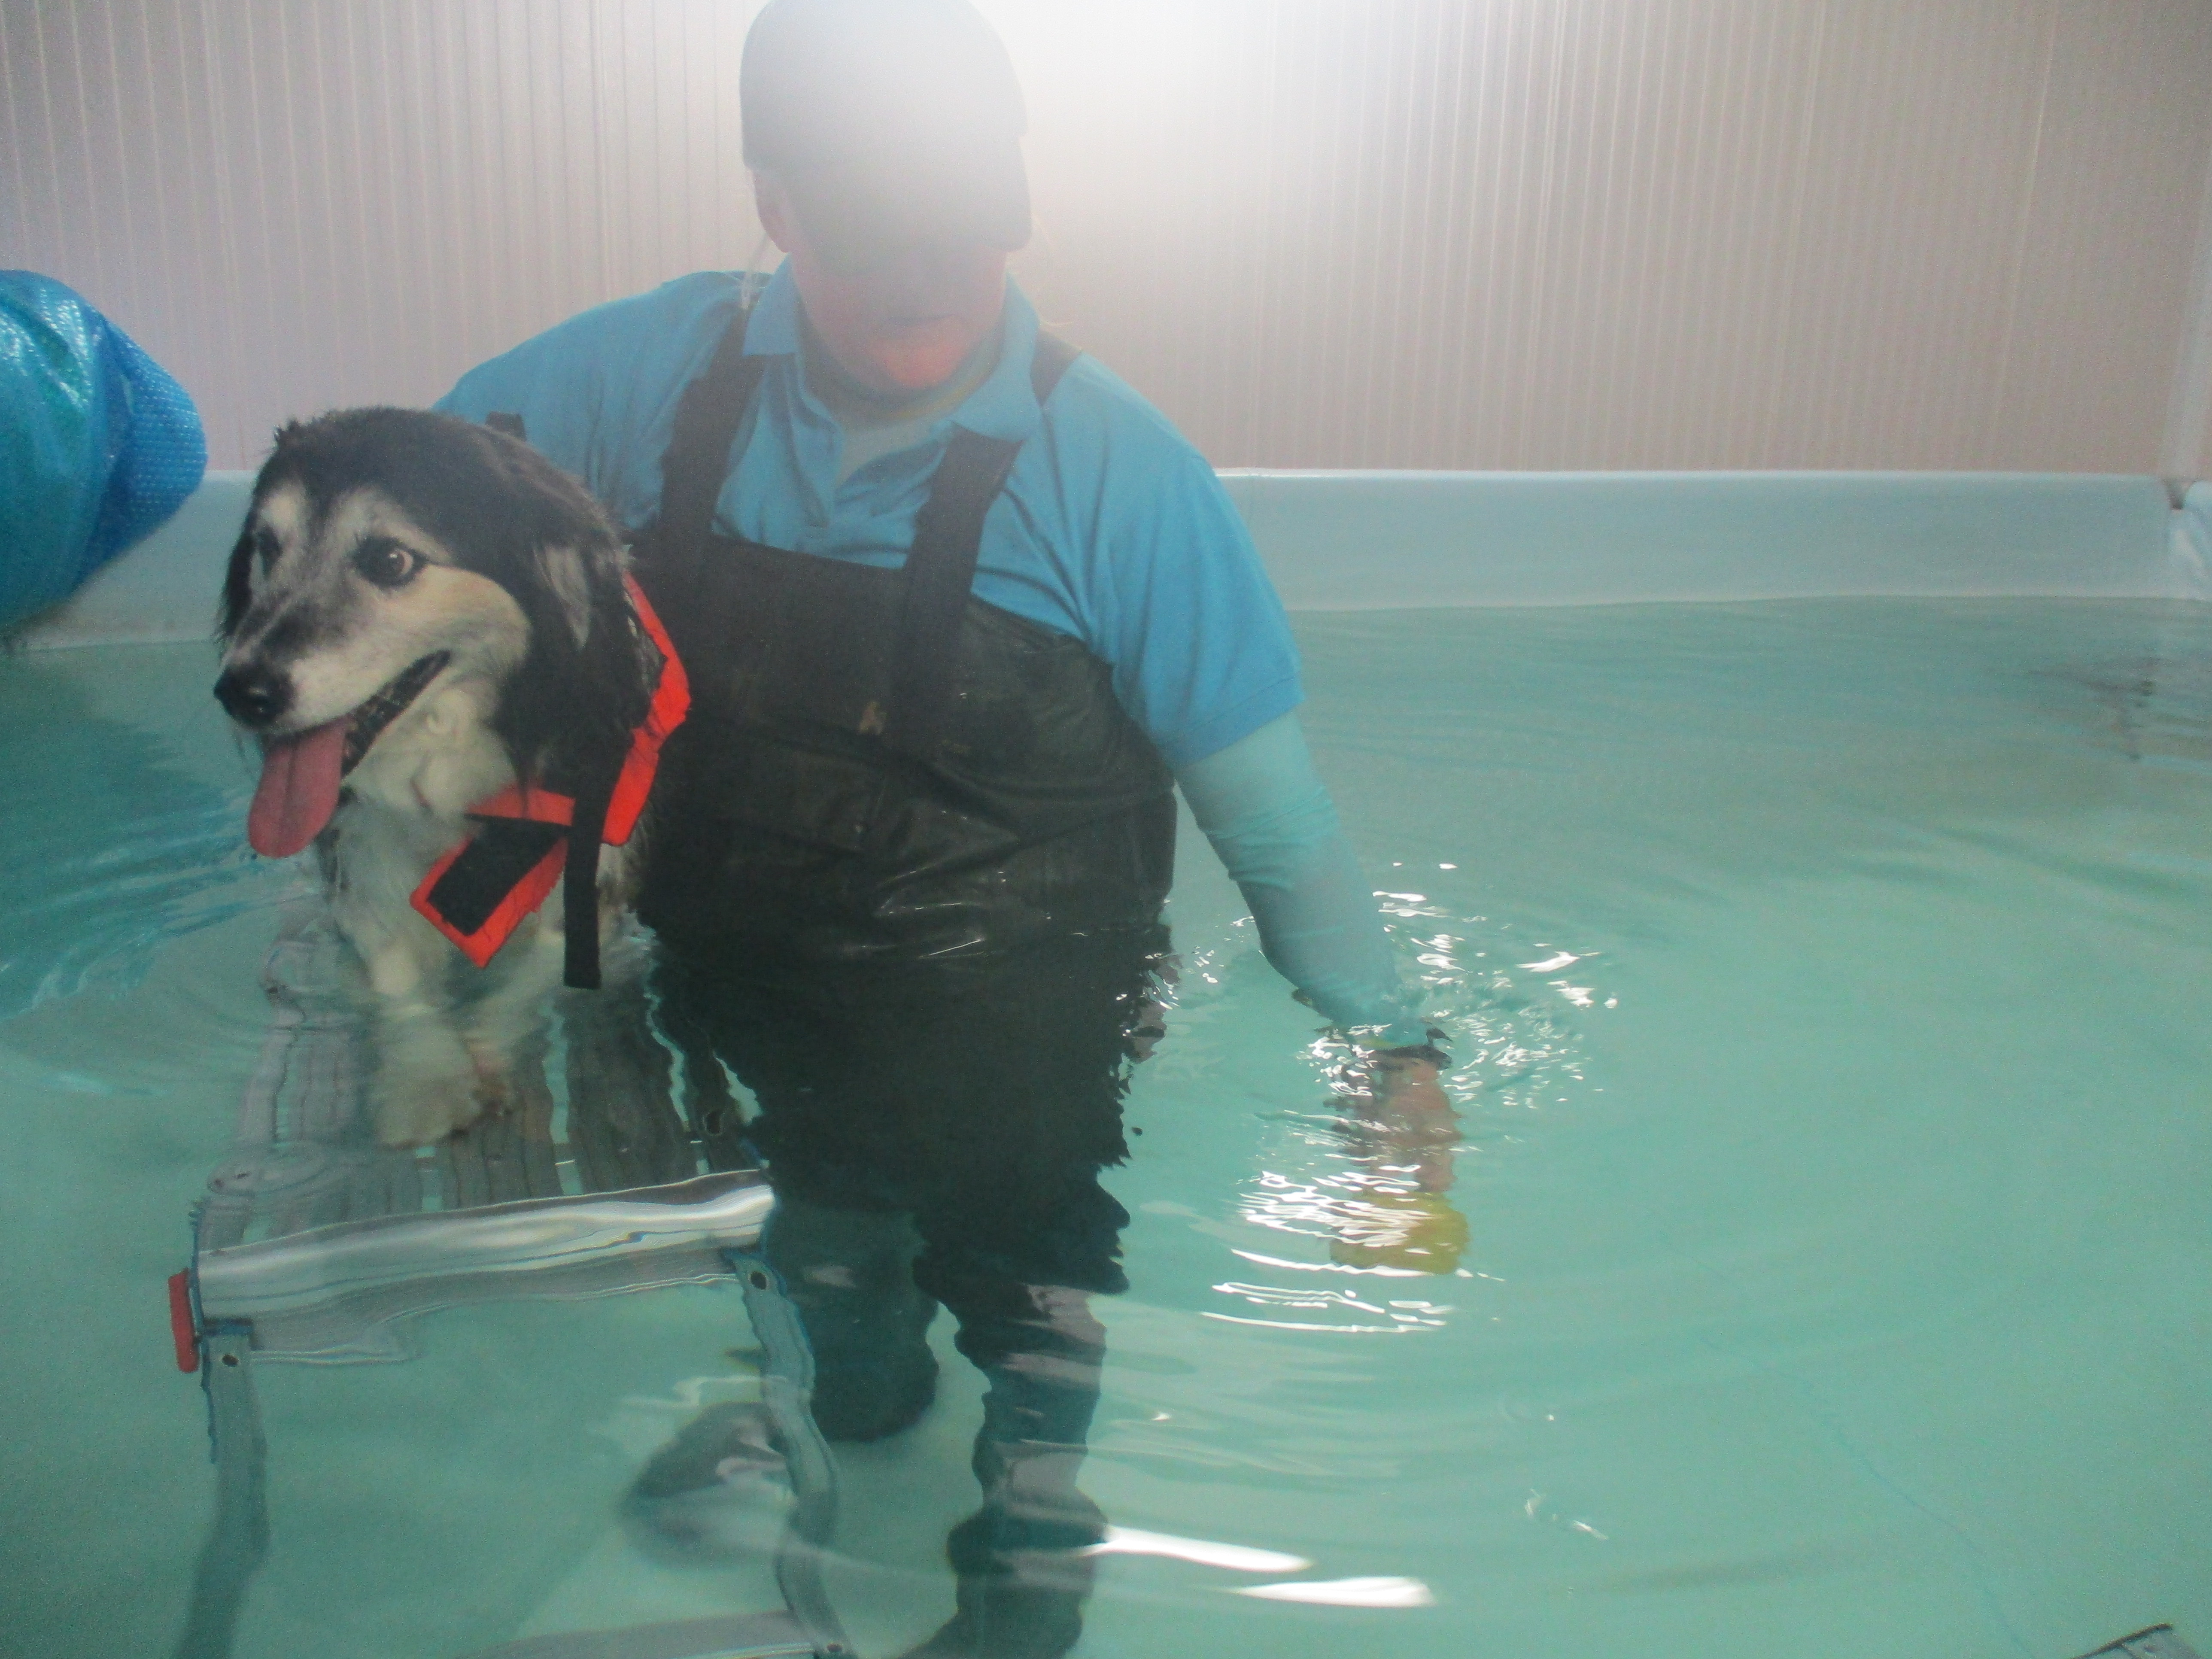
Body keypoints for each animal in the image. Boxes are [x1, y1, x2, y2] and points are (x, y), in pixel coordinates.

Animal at [218, 409, 681, 1150]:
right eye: (267, 547)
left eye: (390, 560)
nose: (242, 693)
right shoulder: (365, 860)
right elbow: (397, 988)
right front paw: (426, 1081)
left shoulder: (591, 892)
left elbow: (525, 986)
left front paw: (485, 1057)